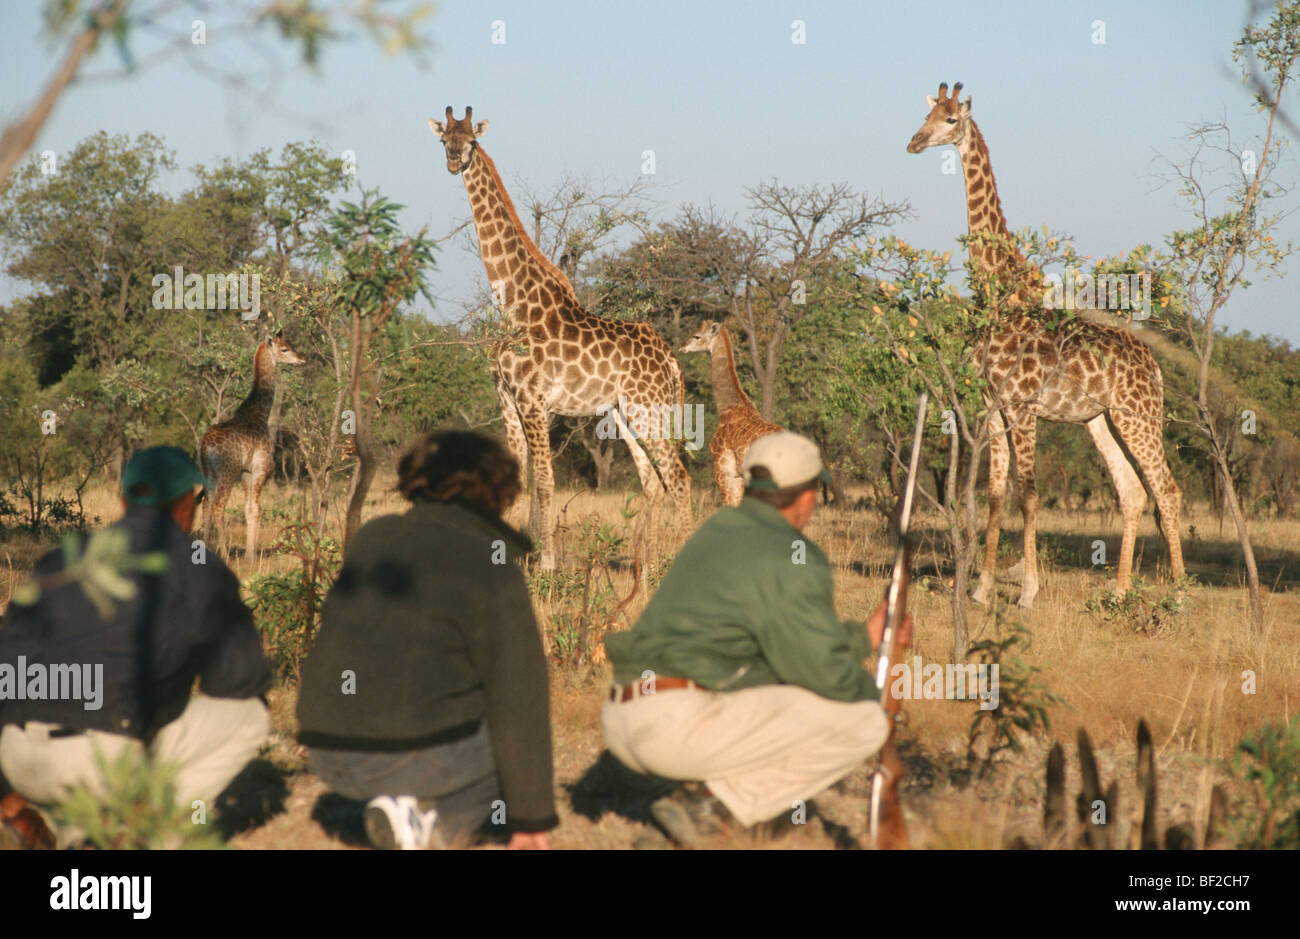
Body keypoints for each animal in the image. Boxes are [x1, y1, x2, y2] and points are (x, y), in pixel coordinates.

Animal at [197, 331, 304, 556]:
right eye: (284, 349)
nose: (301, 359)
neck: (259, 414)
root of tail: (203, 447)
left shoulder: (246, 472)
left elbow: (247, 509)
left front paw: (249, 554)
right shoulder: (260, 468)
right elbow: (256, 509)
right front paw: (251, 557)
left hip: (208, 472)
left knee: (206, 505)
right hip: (228, 472)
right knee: (218, 506)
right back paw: (225, 554)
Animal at [426, 105, 691, 567]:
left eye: (471, 141)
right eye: (445, 140)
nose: (455, 162)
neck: (513, 305)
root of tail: (670, 358)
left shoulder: (534, 402)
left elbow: (546, 483)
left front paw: (547, 564)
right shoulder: (508, 401)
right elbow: (519, 482)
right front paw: (508, 560)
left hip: (649, 408)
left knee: (678, 478)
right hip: (627, 414)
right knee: (653, 482)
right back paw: (650, 565)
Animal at [909, 82, 1185, 606]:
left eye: (951, 119)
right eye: (925, 114)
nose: (914, 142)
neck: (1000, 293)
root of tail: (1156, 369)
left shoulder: (1022, 406)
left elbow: (1028, 494)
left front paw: (1027, 591)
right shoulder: (992, 405)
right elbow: (996, 494)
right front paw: (981, 589)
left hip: (1139, 417)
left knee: (1167, 489)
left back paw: (1180, 595)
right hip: (1101, 420)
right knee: (1132, 491)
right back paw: (1119, 592)